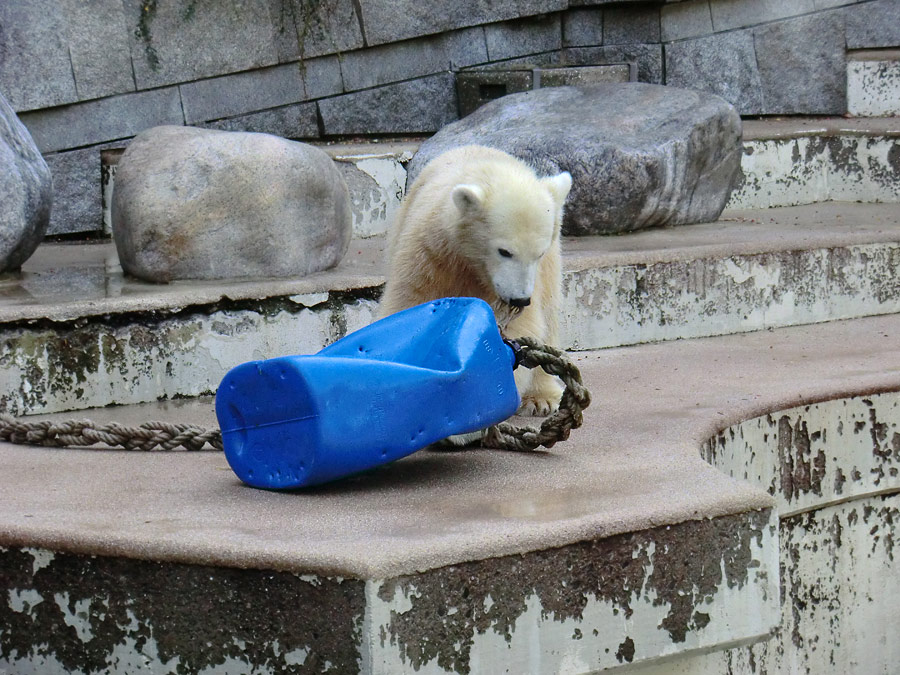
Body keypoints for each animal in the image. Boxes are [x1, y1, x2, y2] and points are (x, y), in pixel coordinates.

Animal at [378, 145, 572, 414]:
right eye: (504, 251)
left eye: (538, 253)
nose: (520, 299)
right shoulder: (430, 252)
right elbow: (410, 301)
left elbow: (517, 327)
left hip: (551, 266)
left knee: (549, 311)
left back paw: (542, 397)